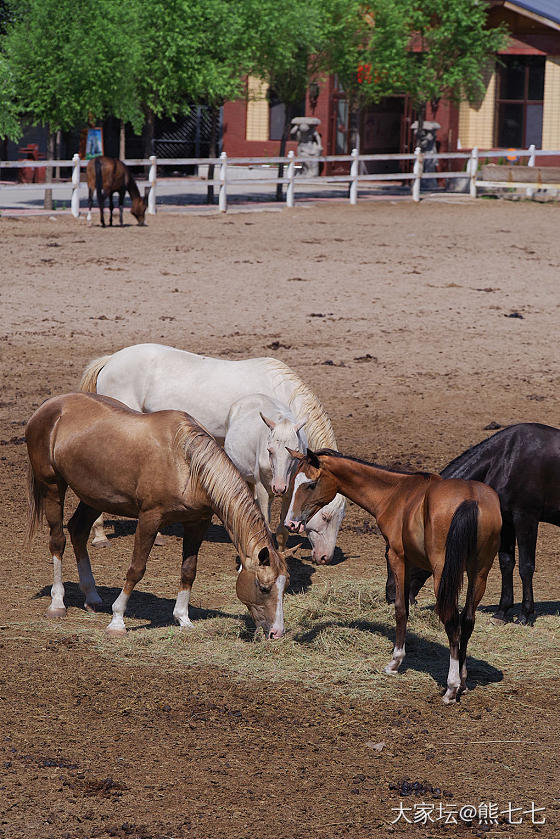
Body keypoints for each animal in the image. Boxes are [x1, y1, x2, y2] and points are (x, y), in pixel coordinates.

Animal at [25, 394, 288, 636]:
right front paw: (117, 620)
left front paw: (183, 618)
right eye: (264, 588)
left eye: (284, 587)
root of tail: (50, 406)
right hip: (52, 487)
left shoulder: (197, 522)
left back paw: (91, 596)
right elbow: (136, 568)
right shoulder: (149, 519)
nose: (277, 632)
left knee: (78, 531)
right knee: (57, 541)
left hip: (94, 498)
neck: (186, 463)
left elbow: (188, 570)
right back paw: (57, 603)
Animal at [225, 394, 308, 552]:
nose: (279, 487)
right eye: (270, 450)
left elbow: (282, 531)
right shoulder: (262, 488)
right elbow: (267, 530)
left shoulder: (289, 491)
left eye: (296, 452)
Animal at [286, 450, 500, 704]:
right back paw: (464, 681)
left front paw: (395, 662)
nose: (291, 523)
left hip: (443, 574)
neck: (396, 493)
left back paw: (451, 687)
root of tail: (471, 499)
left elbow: (400, 608)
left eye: (310, 484)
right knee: (467, 620)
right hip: (479, 573)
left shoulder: (398, 558)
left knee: (451, 621)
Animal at [384, 424, 560, 628]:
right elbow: (506, 564)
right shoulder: (507, 522)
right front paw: (502, 612)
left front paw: (525, 615)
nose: (391, 597)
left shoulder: (526, 519)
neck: (508, 458)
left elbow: (526, 567)